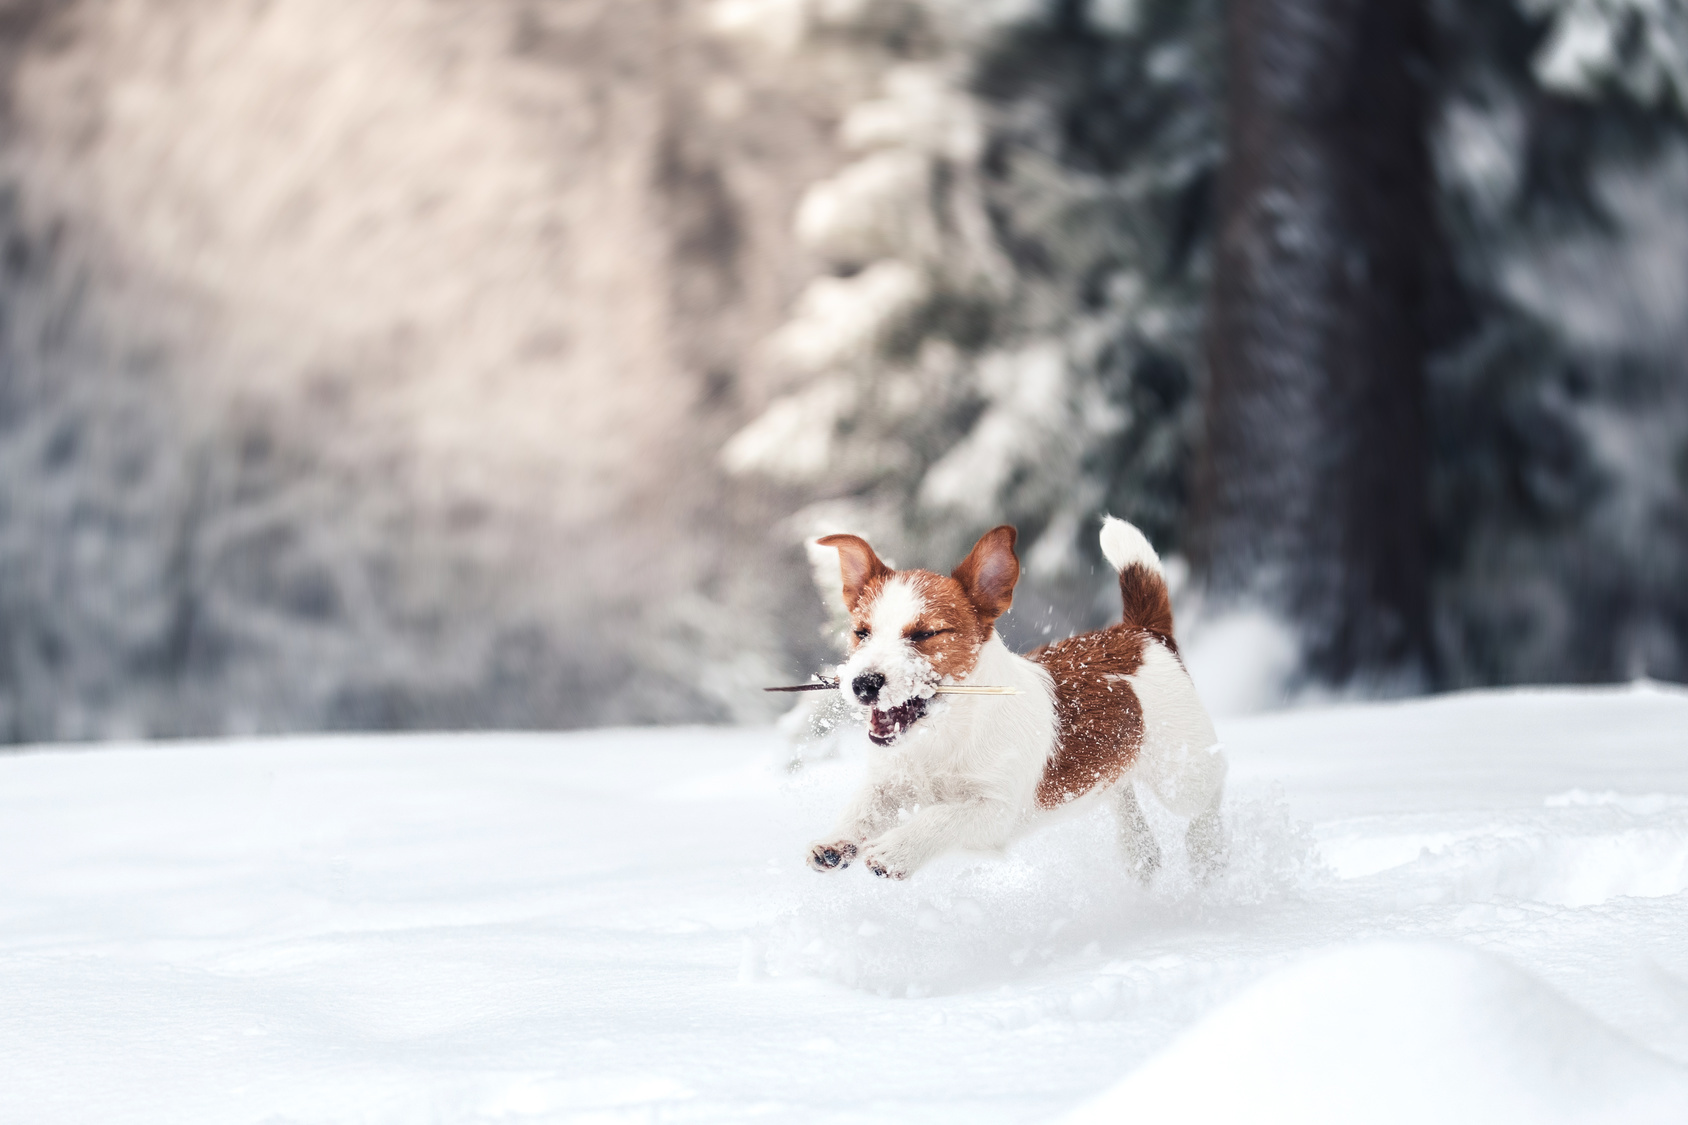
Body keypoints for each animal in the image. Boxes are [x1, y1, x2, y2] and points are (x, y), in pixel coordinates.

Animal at [806, 513, 1228, 878]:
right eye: (861, 632)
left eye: (925, 634)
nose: (863, 683)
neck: (943, 734)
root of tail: (1142, 632)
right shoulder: (890, 782)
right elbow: (863, 806)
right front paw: (836, 841)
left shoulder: (995, 811)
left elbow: (942, 817)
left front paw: (895, 849)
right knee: (1119, 787)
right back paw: (1139, 851)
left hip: (1182, 772)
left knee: (1211, 790)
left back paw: (1207, 852)